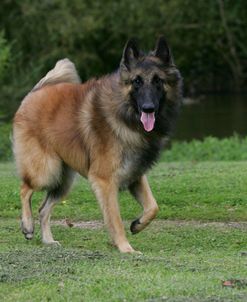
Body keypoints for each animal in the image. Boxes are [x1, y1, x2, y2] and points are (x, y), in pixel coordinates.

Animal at [14, 37, 183, 252]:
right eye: (136, 81)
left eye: (158, 81)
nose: (148, 108)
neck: (124, 115)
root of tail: (35, 91)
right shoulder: (105, 181)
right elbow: (115, 220)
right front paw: (126, 248)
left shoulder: (135, 174)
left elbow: (153, 206)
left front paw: (137, 225)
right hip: (46, 170)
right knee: (25, 189)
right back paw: (27, 226)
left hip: (63, 180)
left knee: (43, 208)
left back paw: (48, 240)